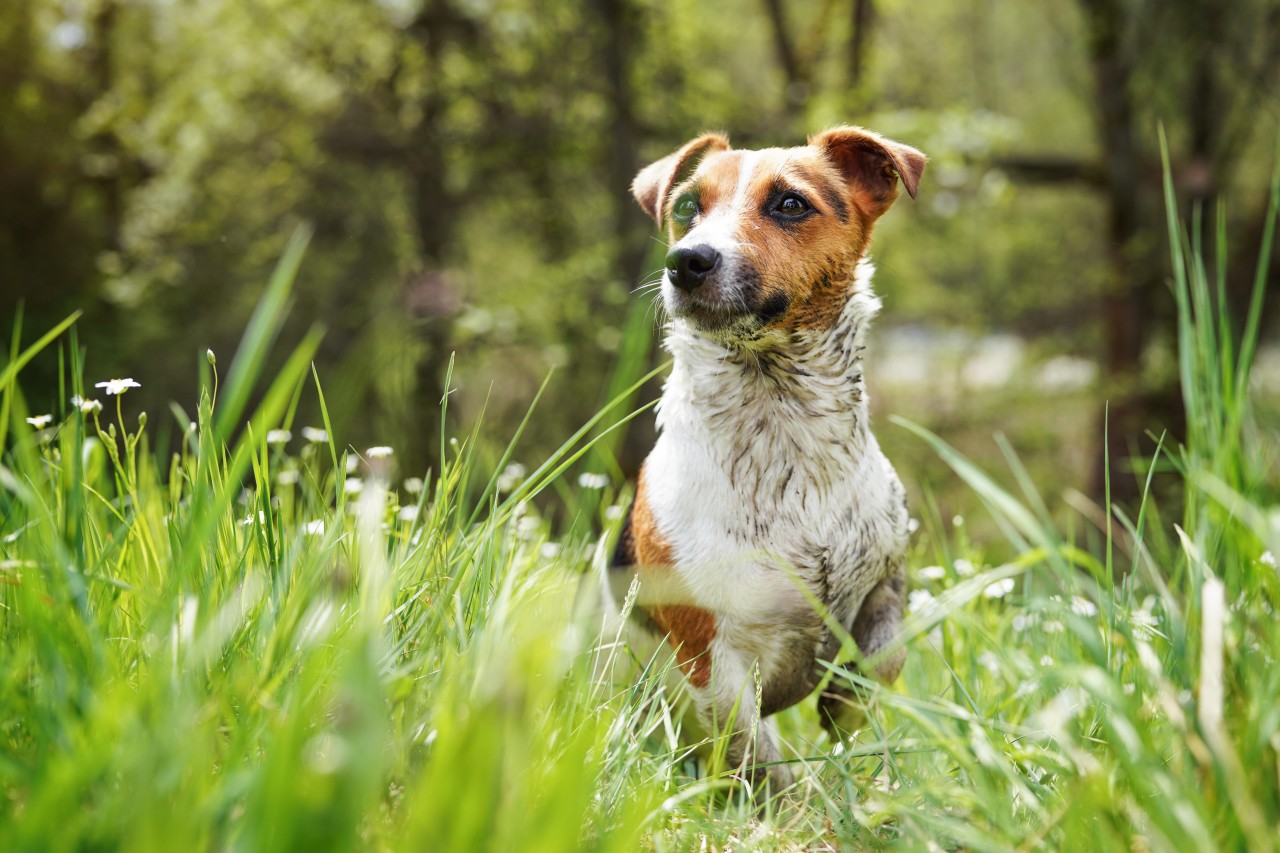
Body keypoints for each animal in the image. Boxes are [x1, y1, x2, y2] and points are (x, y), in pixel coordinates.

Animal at [604, 124, 926, 783]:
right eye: (685, 208)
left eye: (790, 203)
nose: (686, 261)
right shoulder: (713, 658)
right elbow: (755, 752)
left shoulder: (884, 589)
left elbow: (877, 666)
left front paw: (847, 721)